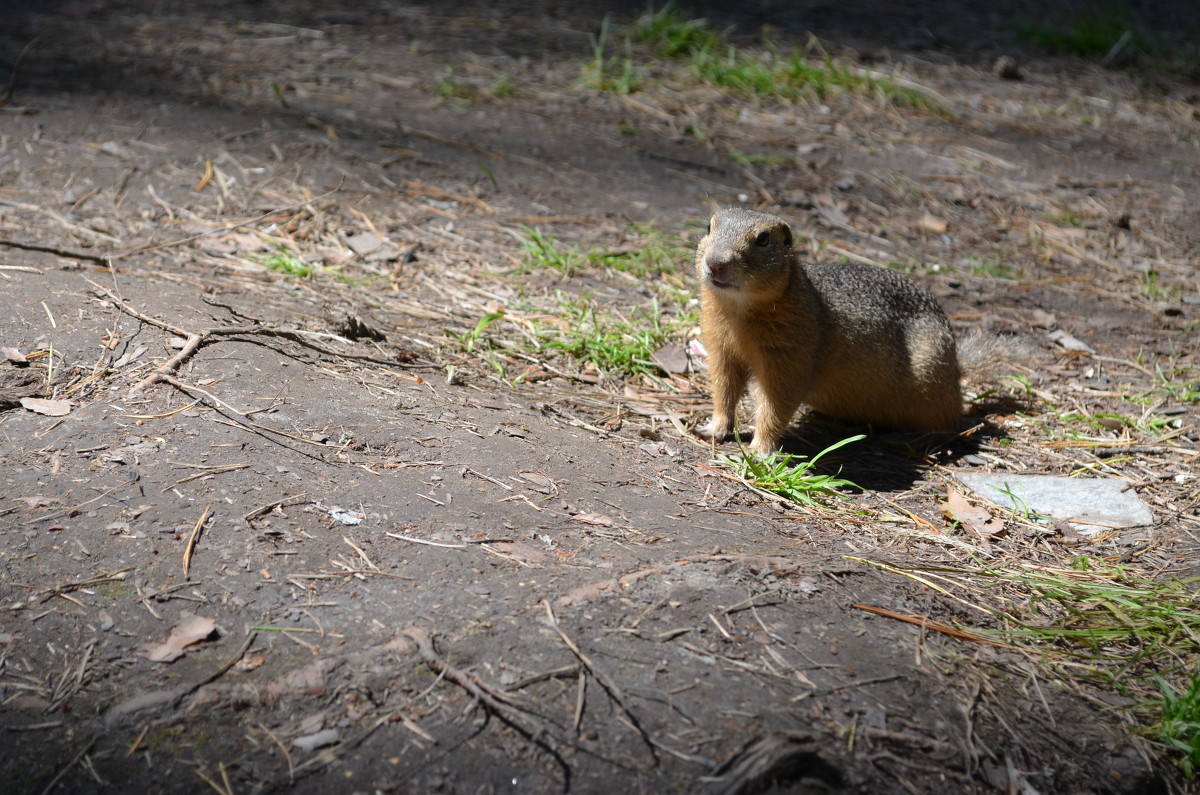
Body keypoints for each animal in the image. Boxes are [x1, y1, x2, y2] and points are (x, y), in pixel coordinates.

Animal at [696, 205, 1003, 453]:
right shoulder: (721, 350)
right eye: (709, 227)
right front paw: (713, 428)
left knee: (950, 421)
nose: (716, 263)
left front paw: (760, 449)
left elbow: (775, 405)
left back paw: (916, 439)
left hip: (932, 376)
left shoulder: (789, 358)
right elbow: (724, 390)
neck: (737, 312)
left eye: (763, 239)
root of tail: (957, 367)